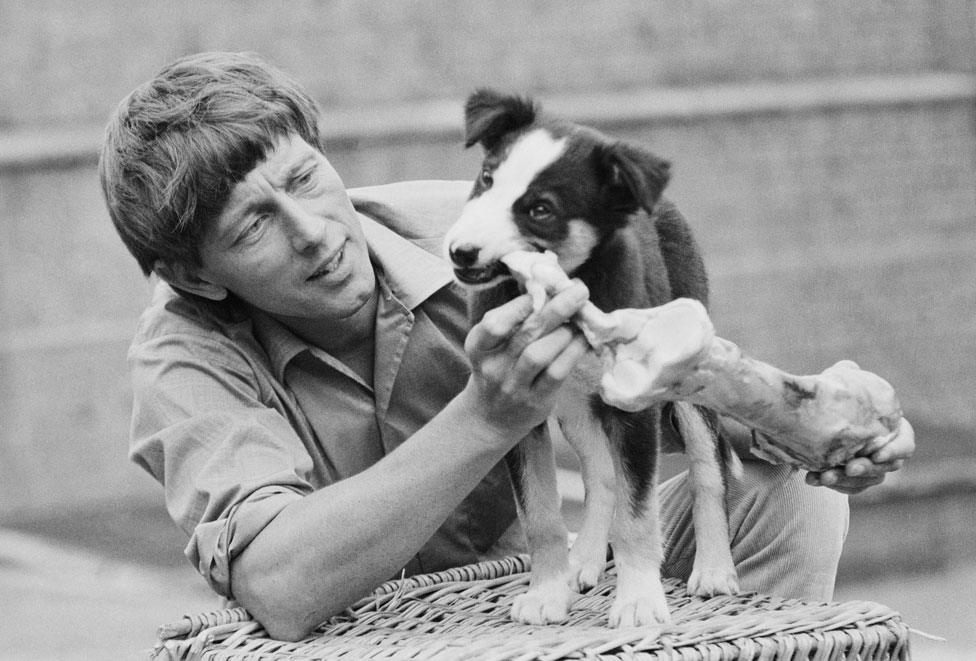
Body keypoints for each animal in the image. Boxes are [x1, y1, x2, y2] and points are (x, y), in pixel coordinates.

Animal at [444, 90, 740, 628]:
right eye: (487, 179)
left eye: (540, 209)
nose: (460, 252)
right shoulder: (514, 411)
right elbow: (541, 513)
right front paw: (546, 594)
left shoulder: (637, 411)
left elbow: (638, 515)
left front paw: (639, 602)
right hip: (577, 404)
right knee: (601, 475)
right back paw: (582, 562)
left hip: (682, 374)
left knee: (709, 468)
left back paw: (713, 570)